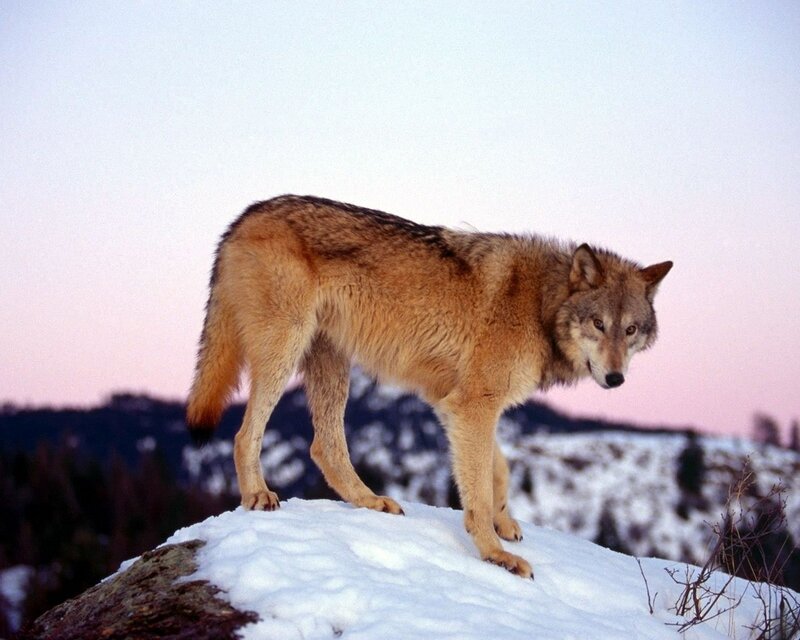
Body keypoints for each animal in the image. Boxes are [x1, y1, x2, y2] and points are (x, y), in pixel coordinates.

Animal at [186, 195, 672, 579]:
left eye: (630, 330)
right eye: (598, 324)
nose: (615, 378)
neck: (540, 304)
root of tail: (246, 214)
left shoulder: (455, 404)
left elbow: (498, 470)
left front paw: (503, 524)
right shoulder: (473, 406)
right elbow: (478, 488)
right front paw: (494, 554)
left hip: (331, 364)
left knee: (324, 447)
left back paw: (371, 502)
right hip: (284, 351)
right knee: (244, 434)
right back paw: (257, 496)